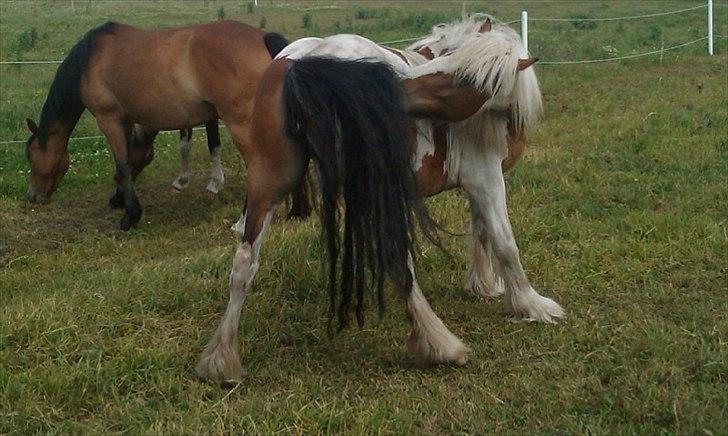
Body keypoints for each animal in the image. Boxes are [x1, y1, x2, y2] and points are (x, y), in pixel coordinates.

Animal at [25, 20, 288, 230]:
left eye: (30, 155)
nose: (32, 196)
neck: (89, 61)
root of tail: (264, 39)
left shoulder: (108, 119)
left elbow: (122, 164)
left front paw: (130, 216)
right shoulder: (127, 119)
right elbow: (129, 161)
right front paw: (120, 199)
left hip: (242, 125)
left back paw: (242, 223)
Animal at [196, 15, 560, 384]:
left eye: (463, 75)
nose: (397, 88)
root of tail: (301, 64)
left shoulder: (478, 182)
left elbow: (480, 230)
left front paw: (485, 285)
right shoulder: (486, 177)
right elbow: (504, 242)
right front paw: (531, 304)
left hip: (269, 180)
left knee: (244, 263)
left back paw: (221, 360)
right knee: (399, 262)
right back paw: (440, 345)